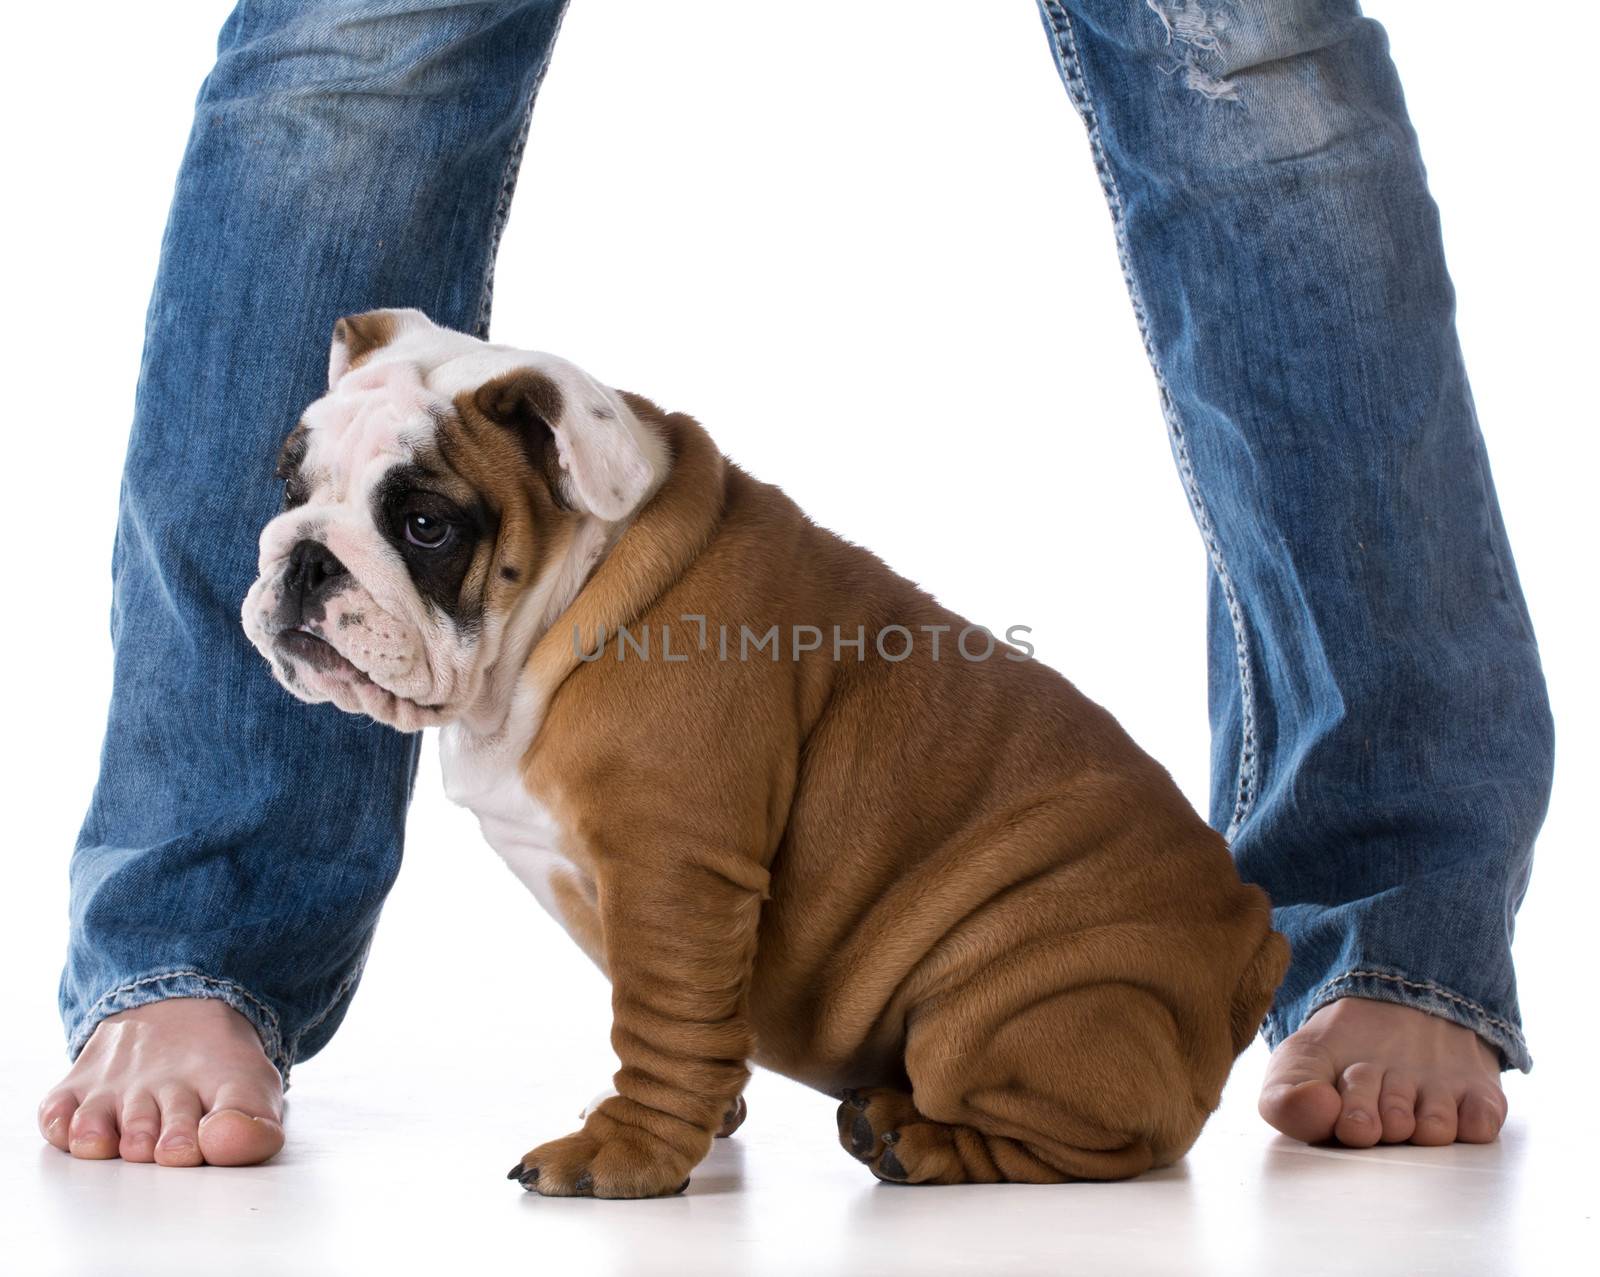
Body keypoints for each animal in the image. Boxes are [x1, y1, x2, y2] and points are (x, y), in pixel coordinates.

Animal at [243, 310, 1292, 1203]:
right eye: (293, 488)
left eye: (426, 526)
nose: (306, 555)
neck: (563, 605)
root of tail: (1254, 936)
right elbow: (699, 1018)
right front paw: (702, 1116)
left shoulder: (672, 869)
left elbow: (661, 1020)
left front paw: (624, 1152)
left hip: (1009, 1004)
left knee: (1100, 1146)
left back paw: (911, 1136)